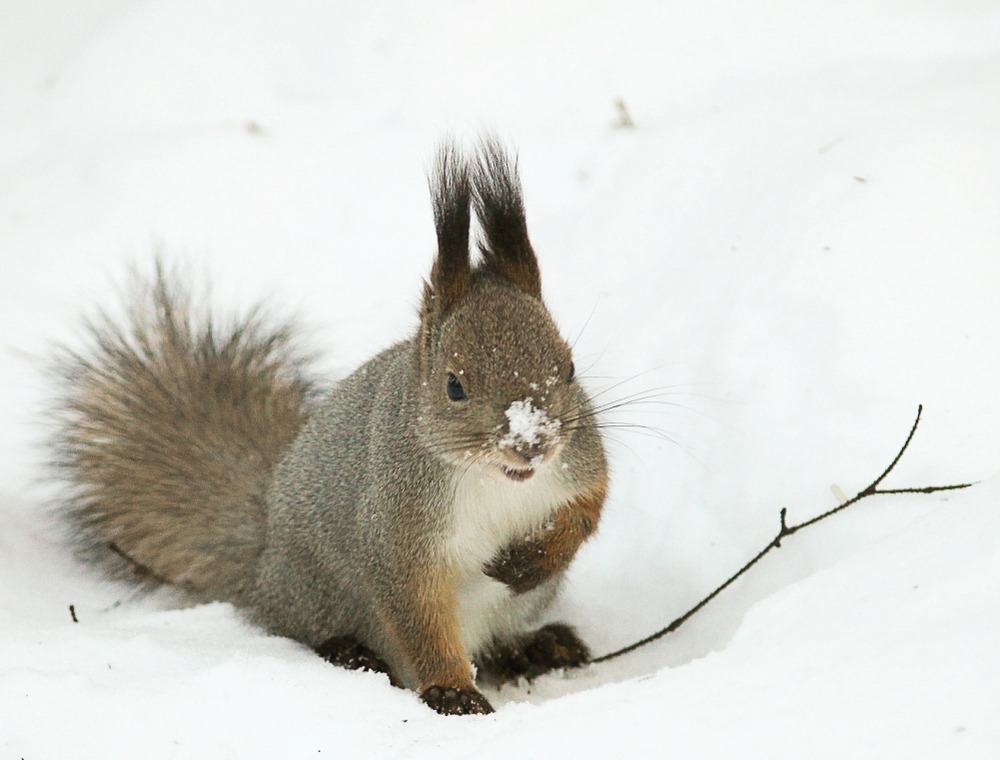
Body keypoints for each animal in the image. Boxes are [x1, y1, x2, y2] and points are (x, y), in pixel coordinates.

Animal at [52, 140, 608, 716]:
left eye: (570, 368)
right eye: (454, 385)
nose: (532, 444)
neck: (495, 479)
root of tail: (264, 570)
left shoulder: (578, 459)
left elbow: (590, 503)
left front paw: (534, 558)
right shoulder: (397, 527)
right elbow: (418, 614)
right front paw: (453, 691)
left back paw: (537, 646)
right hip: (321, 592)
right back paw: (351, 652)